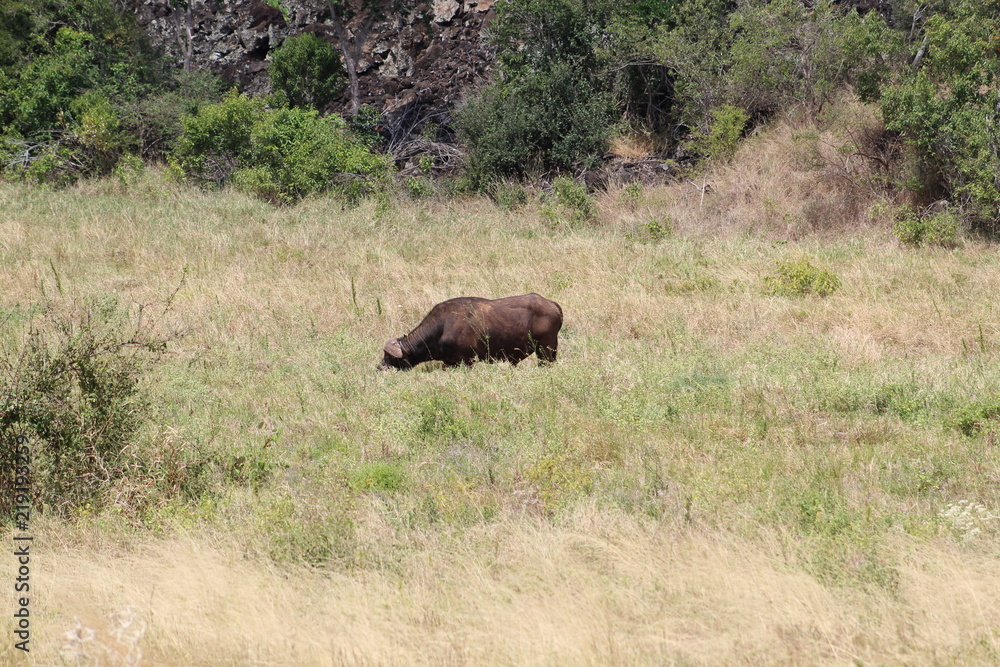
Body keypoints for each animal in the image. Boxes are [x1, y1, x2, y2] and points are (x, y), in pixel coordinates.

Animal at [378, 294, 564, 370]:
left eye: (389, 357)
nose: (380, 367)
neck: (442, 326)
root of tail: (551, 304)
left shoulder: (466, 361)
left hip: (546, 350)